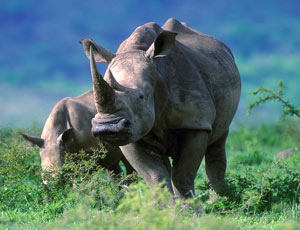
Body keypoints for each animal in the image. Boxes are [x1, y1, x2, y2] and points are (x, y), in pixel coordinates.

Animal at [80, 18, 241, 198]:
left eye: (141, 97)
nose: (107, 127)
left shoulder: (196, 122)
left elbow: (183, 176)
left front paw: (189, 206)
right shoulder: (132, 135)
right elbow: (155, 177)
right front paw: (169, 205)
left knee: (219, 140)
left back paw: (220, 200)